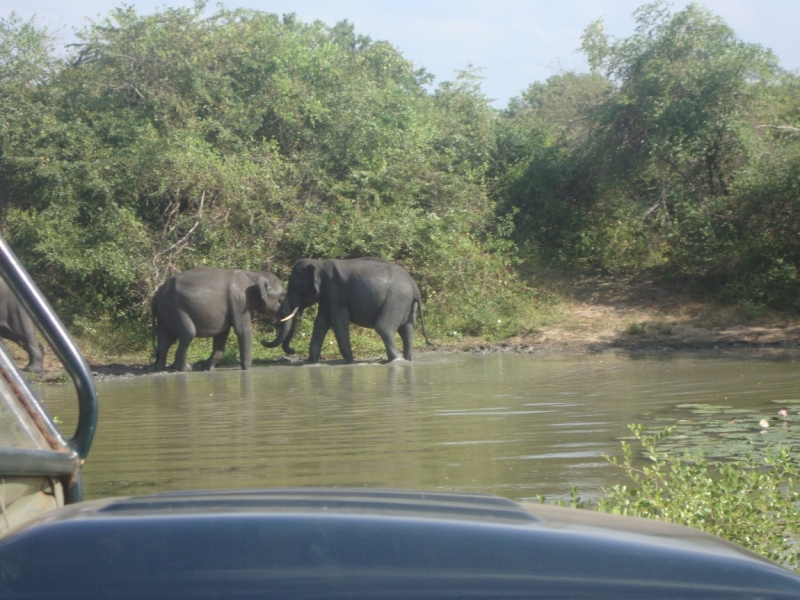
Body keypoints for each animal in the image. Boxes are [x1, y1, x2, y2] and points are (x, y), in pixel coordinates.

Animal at [150, 268, 290, 370]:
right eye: (281, 298)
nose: (263, 341)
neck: (253, 274)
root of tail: (156, 296)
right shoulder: (239, 300)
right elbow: (243, 330)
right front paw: (247, 369)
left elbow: (221, 334)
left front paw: (207, 368)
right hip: (175, 309)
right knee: (187, 334)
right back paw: (184, 369)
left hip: (165, 313)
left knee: (165, 338)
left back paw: (160, 368)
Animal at [262, 256, 432, 364]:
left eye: (296, 288)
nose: (291, 350)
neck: (319, 263)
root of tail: (414, 286)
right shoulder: (327, 295)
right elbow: (321, 321)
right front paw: (311, 362)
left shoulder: (336, 290)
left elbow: (338, 321)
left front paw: (350, 361)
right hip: (406, 305)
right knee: (408, 330)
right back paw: (407, 360)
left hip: (396, 300)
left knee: (384, 328)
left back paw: (394, 361)